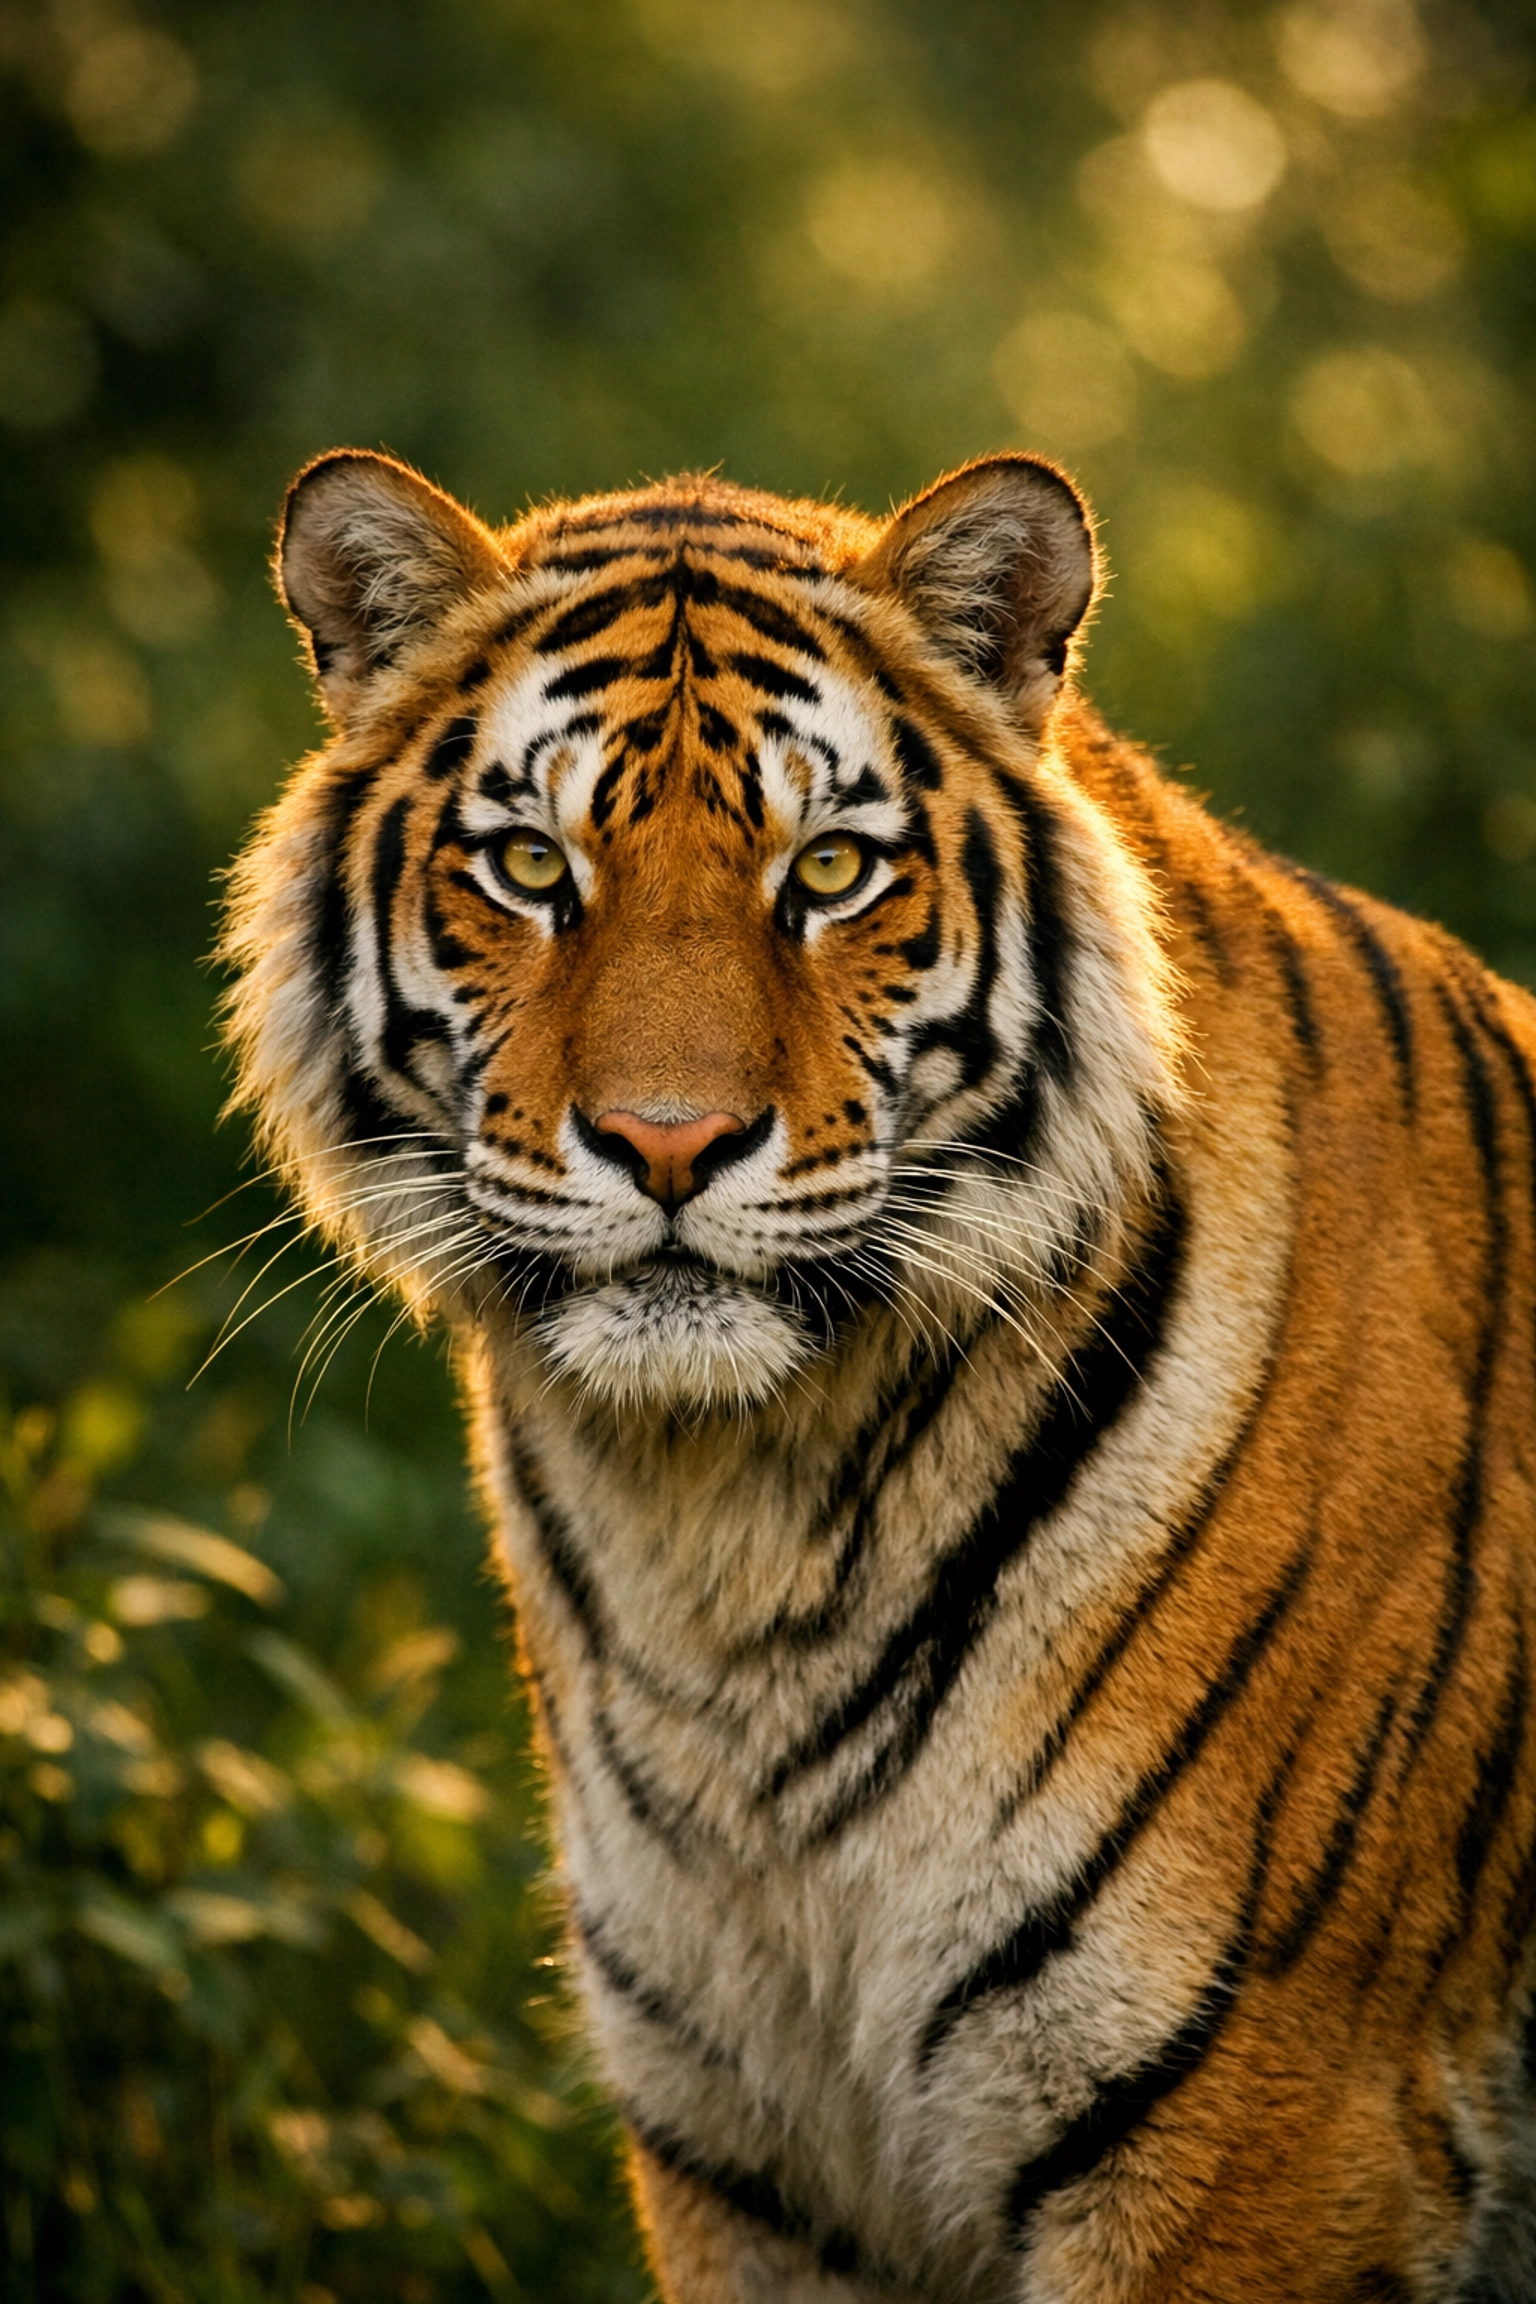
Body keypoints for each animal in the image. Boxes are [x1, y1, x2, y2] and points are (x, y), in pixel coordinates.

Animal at [221, 443, 1536, 2303]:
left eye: (831, 867)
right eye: (533, 865)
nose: (668, 1141)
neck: (724, 1535)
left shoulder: (1268, 2132)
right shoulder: (747, 2151)